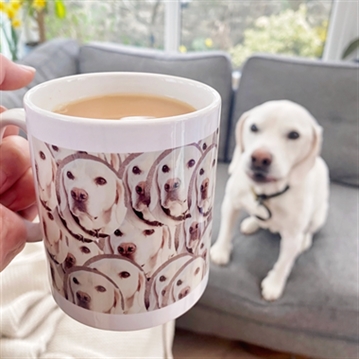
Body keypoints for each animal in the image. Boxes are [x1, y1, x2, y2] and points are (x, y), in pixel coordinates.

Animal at [211, 100, 332, 300]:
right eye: (253, 127)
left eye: (294, 135)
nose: (260, 158)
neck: (265, 193)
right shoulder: (230, 205)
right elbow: (225, 230)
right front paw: (221, 251)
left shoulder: (292, 237)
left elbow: (283, 264)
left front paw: (274, 284)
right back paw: (252, 223)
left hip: (319, 216)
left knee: (310, 230)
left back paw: (305, 241)